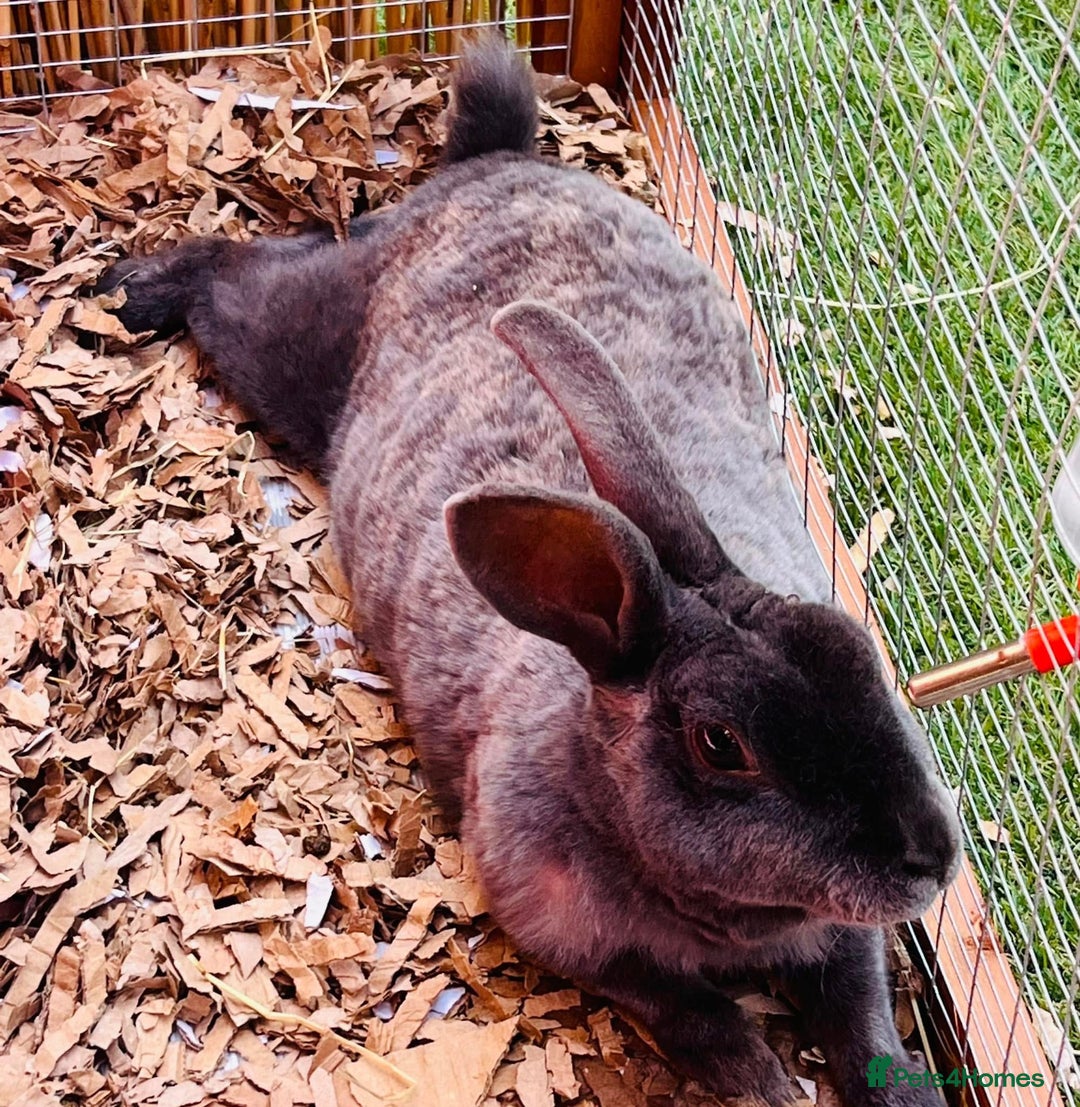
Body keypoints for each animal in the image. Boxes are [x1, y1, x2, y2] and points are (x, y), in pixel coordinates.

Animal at [96, 39, 962, 1107]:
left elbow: (863, 1012)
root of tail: (496, 159)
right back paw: (128, 288)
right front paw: (762, 1076)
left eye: (854, 646)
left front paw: (903, 1091)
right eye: (723, 744)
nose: (933, 856)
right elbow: (689, 1008)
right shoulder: (565, 928)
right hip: (288, 344)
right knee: (235, 270)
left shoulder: (846, 945)